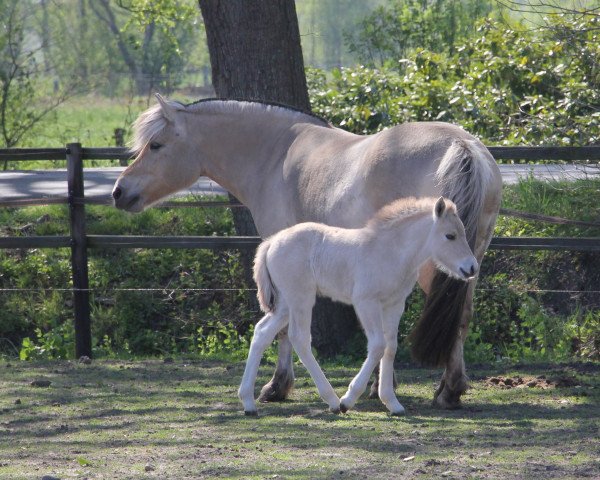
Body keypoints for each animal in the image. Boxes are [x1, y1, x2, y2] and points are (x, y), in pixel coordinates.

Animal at [239, 197, 478, 414]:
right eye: (450, 236)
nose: (472, 268)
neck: (390, 252)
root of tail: (271, 242)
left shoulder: (394, 304)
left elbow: (391, 347)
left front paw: (392, 402)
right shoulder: (366, 302)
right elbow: (378, 345)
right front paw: (349, 399)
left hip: (285, 304)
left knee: (262, 332)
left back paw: (248, 402)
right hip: (301, 298)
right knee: (299, 338)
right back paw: (333, 401)